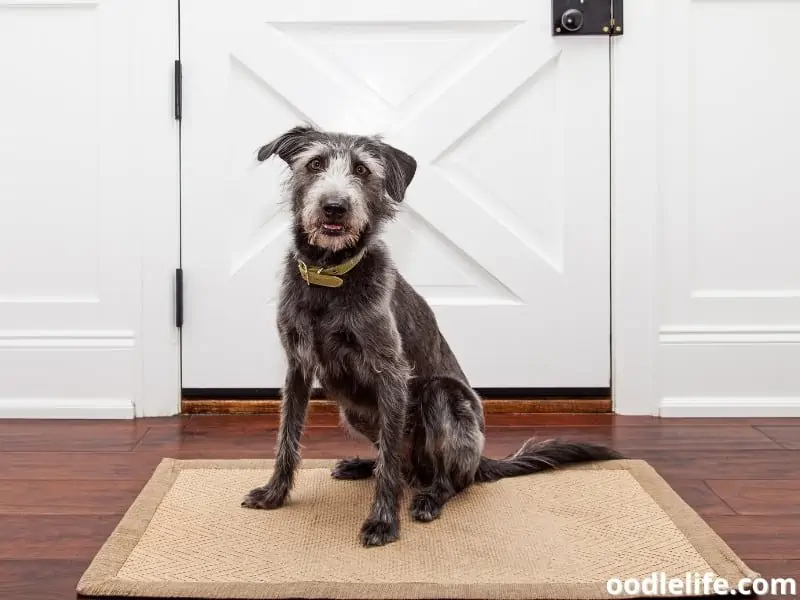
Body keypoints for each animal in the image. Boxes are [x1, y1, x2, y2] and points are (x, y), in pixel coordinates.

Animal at [241, 124, 620, 548]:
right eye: (315, 164)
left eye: (362, 170)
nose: (334, 207)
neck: (331, 278)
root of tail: (480, 461)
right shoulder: (298, 369)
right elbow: (287, 438)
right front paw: (274, 494)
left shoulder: (390, 374)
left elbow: (389, 462)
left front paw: (383, 522)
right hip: (353, 410)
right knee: (399, 460)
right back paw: (362, 466)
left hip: (443, 399)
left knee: (447, 478)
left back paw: (429, 498)